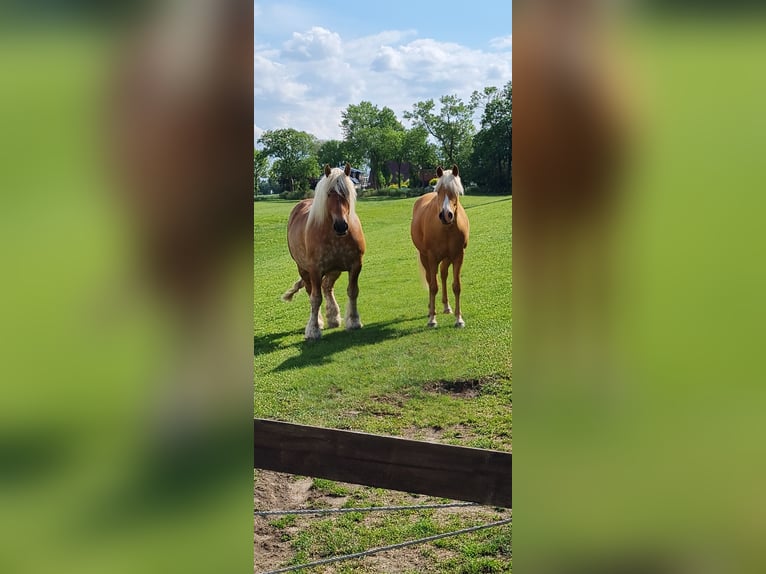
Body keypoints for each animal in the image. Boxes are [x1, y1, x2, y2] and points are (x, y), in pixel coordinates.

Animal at [284, 164, 368, 340]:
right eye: (329, 193)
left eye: (346, 193)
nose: (341, 226)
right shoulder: (315, 269)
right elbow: (315, 299)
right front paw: (313, 330)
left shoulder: (356, 265)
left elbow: (353, 291)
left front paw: (354, 321)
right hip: (304, 270)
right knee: (312, 291)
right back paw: (320, 321)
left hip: (334, 270)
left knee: (327, 287)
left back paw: (333, 317)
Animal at [412, 165, 472, 328]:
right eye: (438, 191)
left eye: (456, 191)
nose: (446, 215)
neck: (446, 229)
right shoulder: (432, 257)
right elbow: (433, 286)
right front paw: (432, 319)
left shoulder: (458, 256)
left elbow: (456, 286)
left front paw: (459, 319)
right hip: (424, 257)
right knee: (430, 279)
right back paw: (430, 310)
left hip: (447, 258)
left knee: (444, 275)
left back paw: (446, 306)